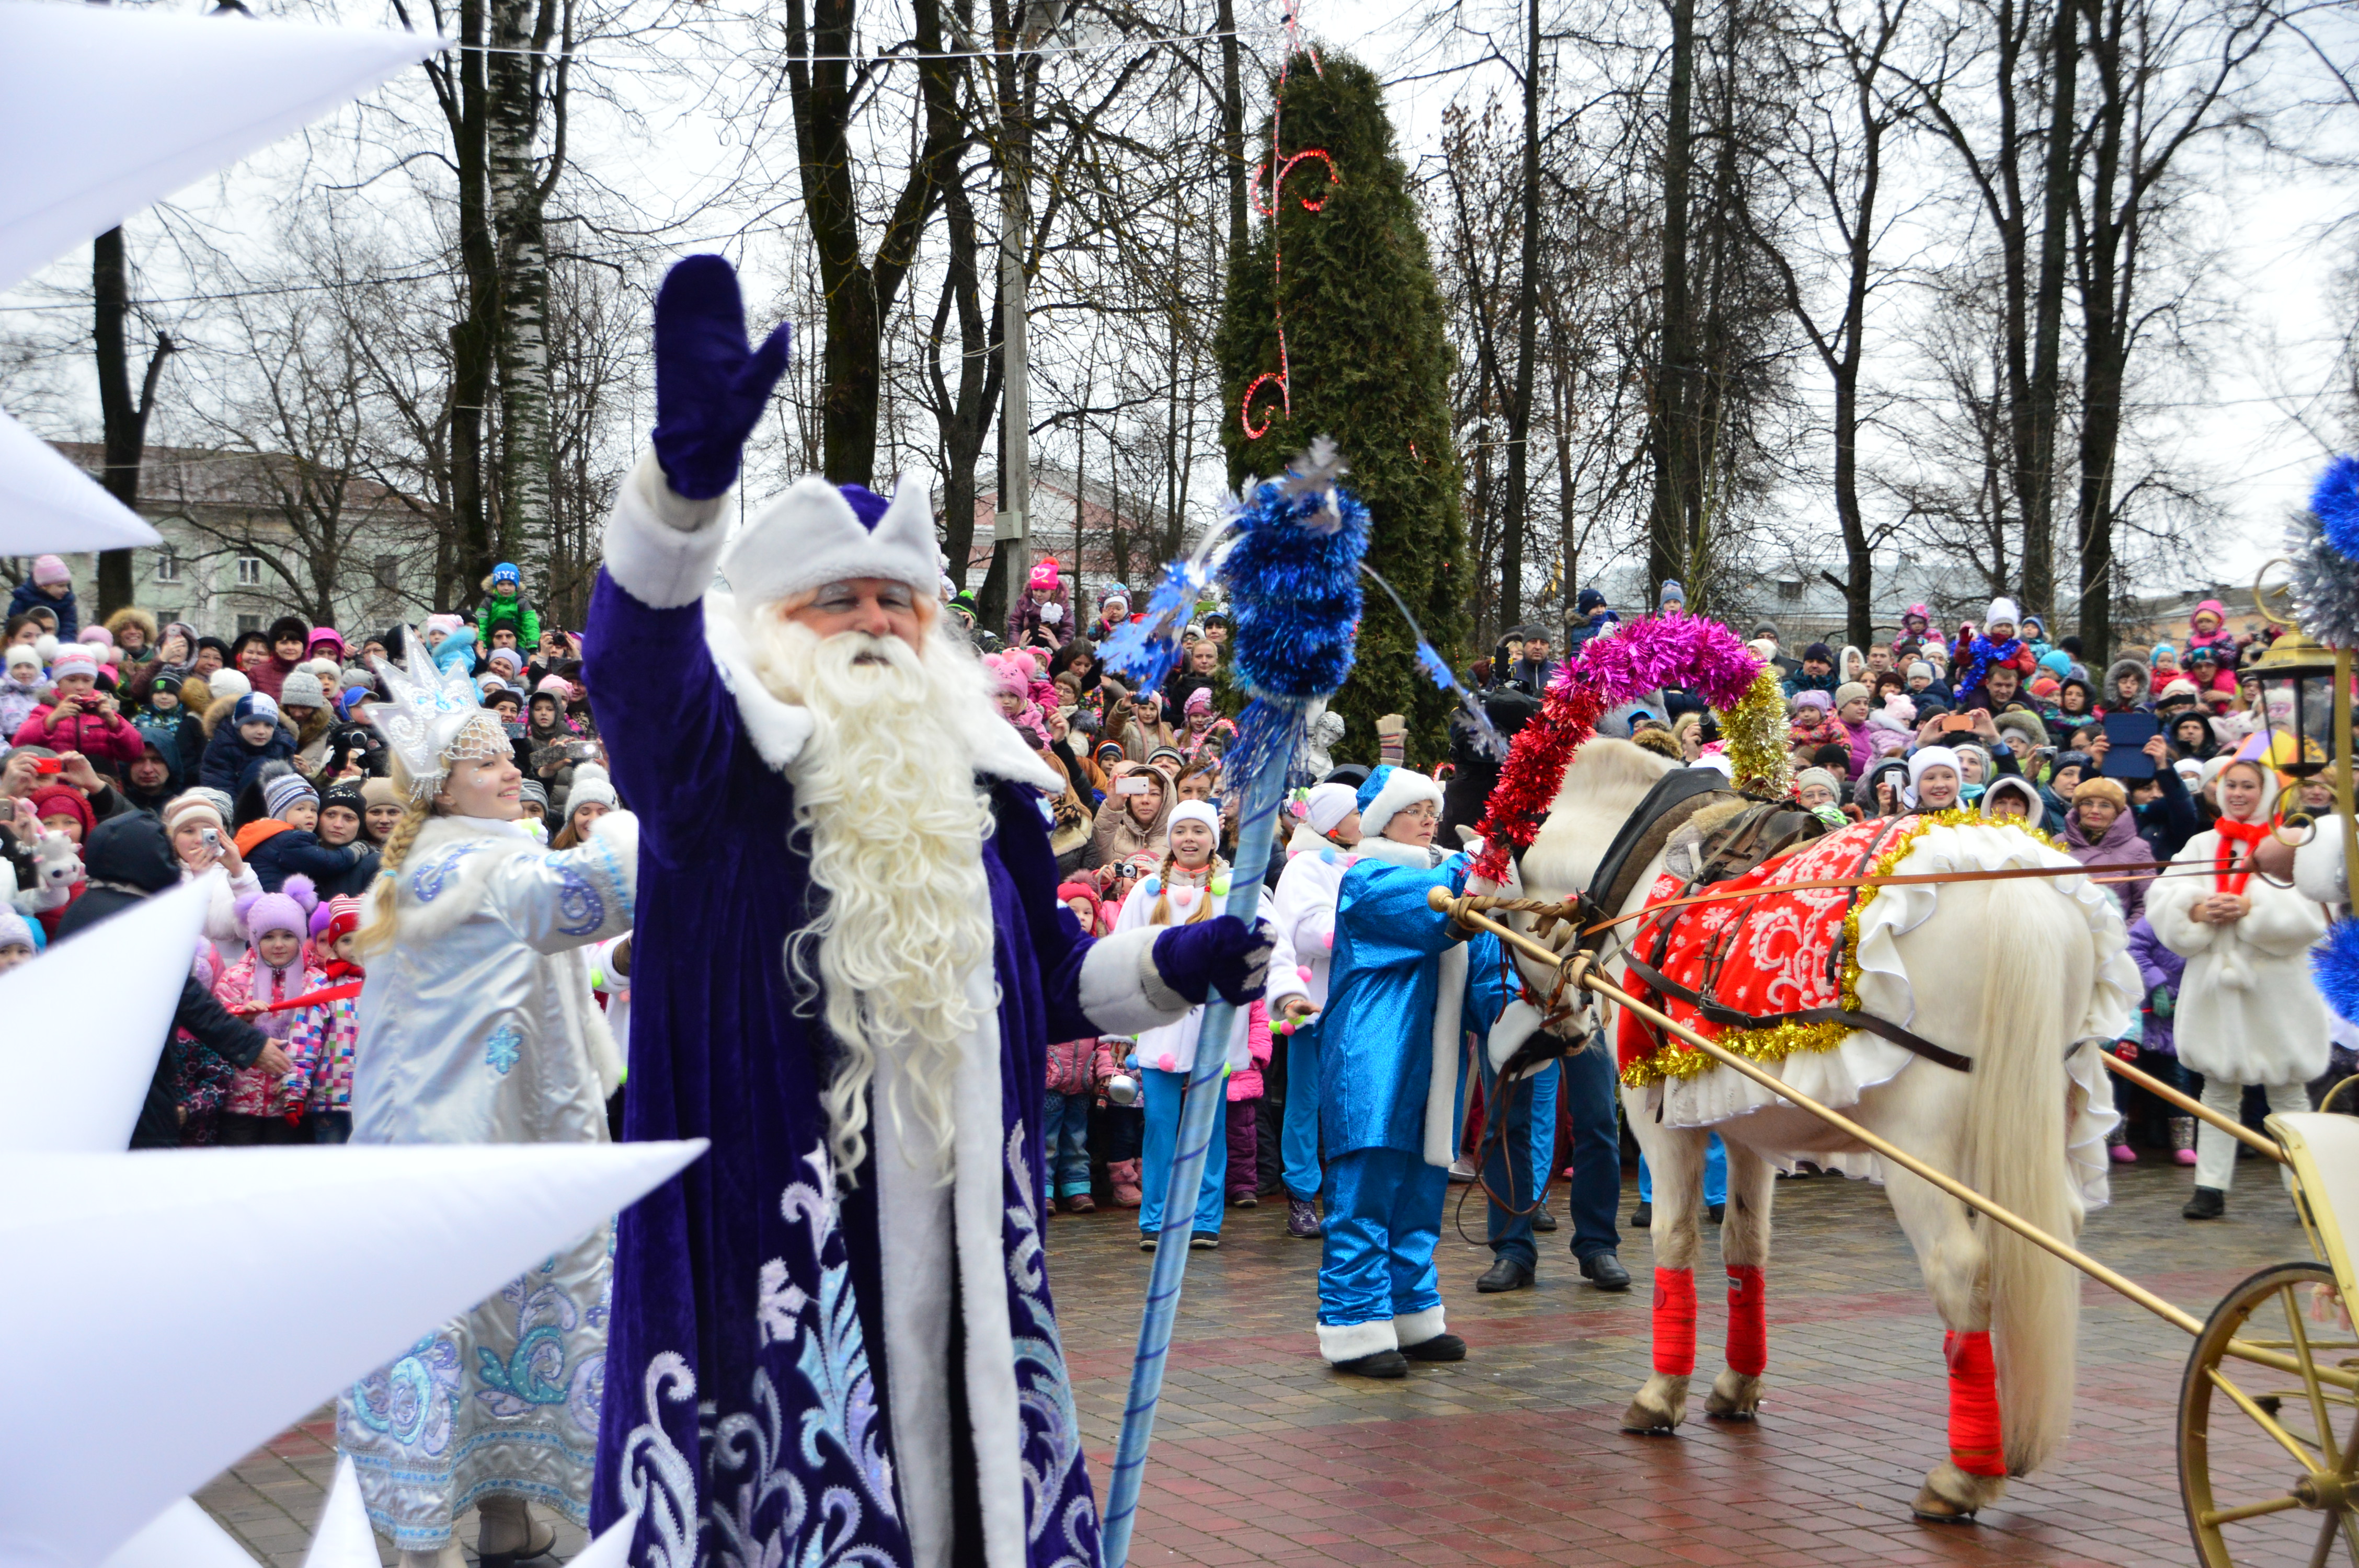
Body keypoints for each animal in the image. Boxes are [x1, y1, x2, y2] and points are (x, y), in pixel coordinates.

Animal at [1491, 740, 2142, 1518]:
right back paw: (2009, 1436)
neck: (1649, 867)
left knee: (1961, 1271)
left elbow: (1674, 1239)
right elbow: (1746, 1246)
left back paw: (1963, 1473)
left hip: (1924, 1150)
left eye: (1506, 944)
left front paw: (1660, 1395)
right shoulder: (1741, 1116)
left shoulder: (1659, 1120)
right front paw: (1738, 1385)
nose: (1553, 1041)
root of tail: (2015, 888)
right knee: (2048, 1243)